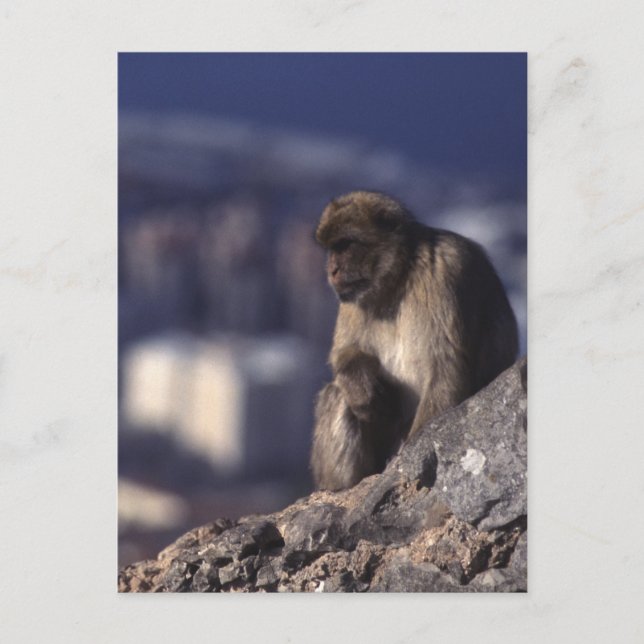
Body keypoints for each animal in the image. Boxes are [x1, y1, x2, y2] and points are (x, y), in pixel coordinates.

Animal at [310, 191, 519, 491]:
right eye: (332, 249)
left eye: (346, 245)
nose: (332, 270)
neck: (399, 277)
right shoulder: (350, 297)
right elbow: (345, 352)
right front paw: (362, 388)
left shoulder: (446, 269)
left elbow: (445, 365)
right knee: (338, 393)